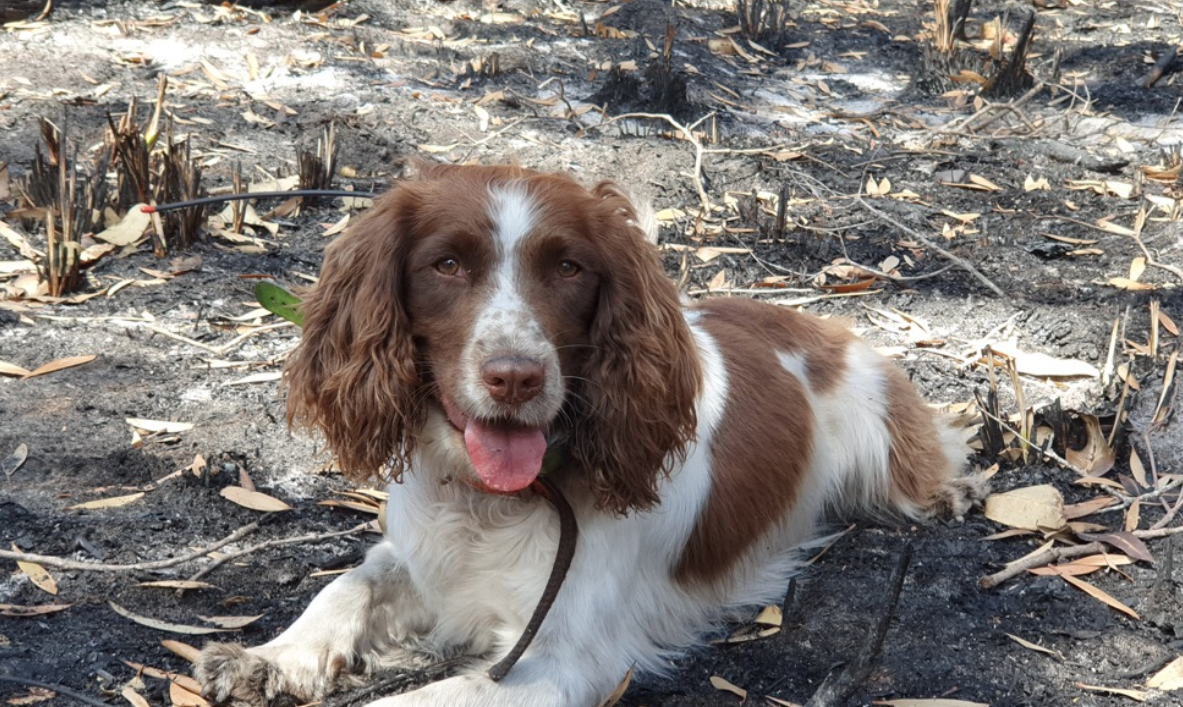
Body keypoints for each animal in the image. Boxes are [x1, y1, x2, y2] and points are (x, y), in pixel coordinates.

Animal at [194, 164, 984, 707]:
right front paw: (272, 655)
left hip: (880, 427)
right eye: (446, 263)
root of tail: (805, 315)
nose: (515, 377)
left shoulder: (557, 663)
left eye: (568, 267)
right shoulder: (423, 559)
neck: (490, 501)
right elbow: (347, 585)